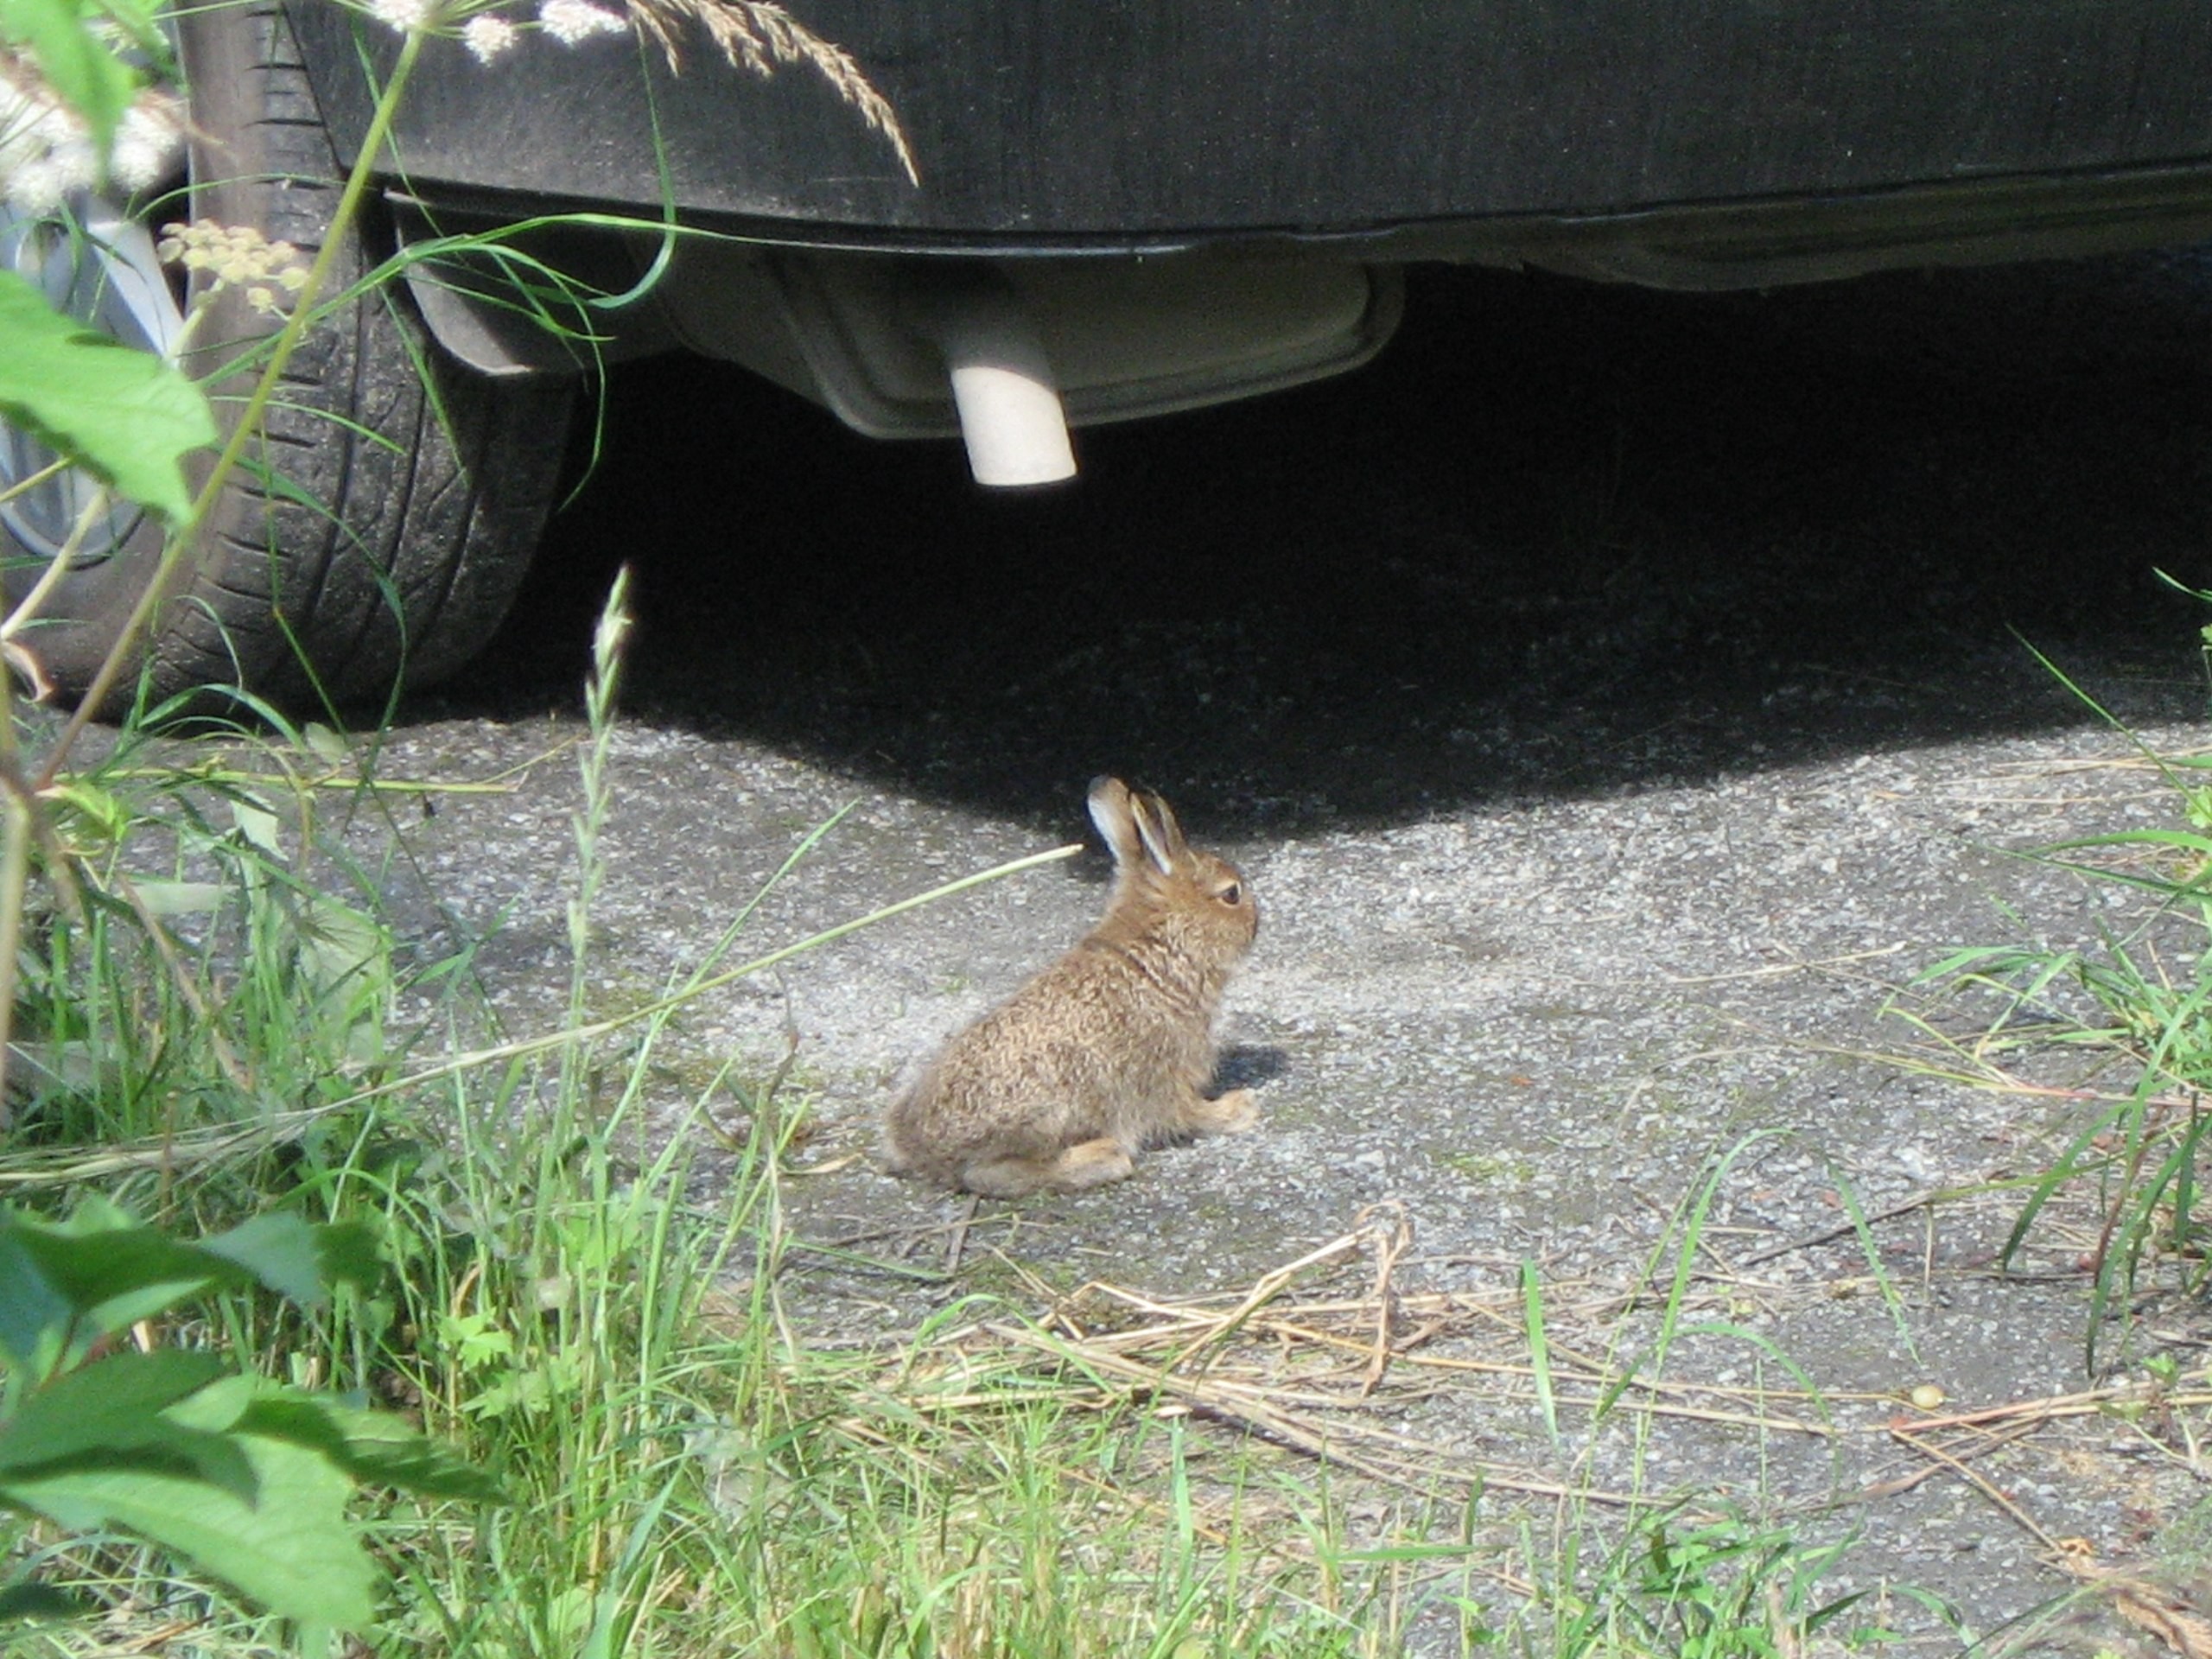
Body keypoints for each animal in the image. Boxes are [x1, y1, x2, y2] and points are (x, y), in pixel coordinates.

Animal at [884, 776, 1262, 1198]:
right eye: (1231, 894)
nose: (1256, 924)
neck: (1162, 947)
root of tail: (920, 1150)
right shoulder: (1168, 1072)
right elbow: (1189, 1114)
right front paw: (1240, 1109)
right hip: (1046, 1112)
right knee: (994, 1174)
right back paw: (1105, 1157)